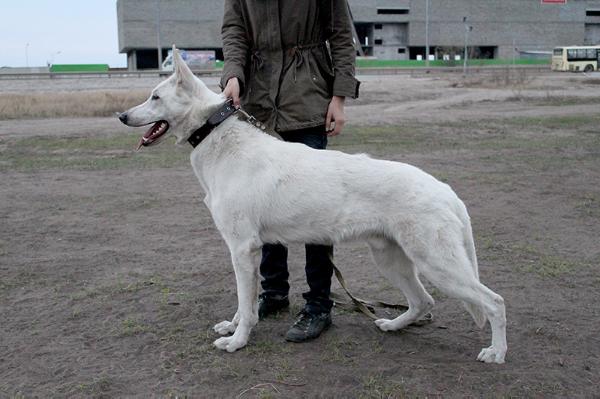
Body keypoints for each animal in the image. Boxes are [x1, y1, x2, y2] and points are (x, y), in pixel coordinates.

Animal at [119, 47, 508, 366]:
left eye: (155, 96)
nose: (121, 116)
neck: (215, 135)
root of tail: (446, 190)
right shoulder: (247, 252)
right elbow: (246, 302)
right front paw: (232, 326)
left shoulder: (242, 249)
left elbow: (247, 305)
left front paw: (238, 341)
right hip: (392, 261)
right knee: (423, 301)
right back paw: (393, 325)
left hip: (438, 264)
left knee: (494, 302)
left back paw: (496, 353)